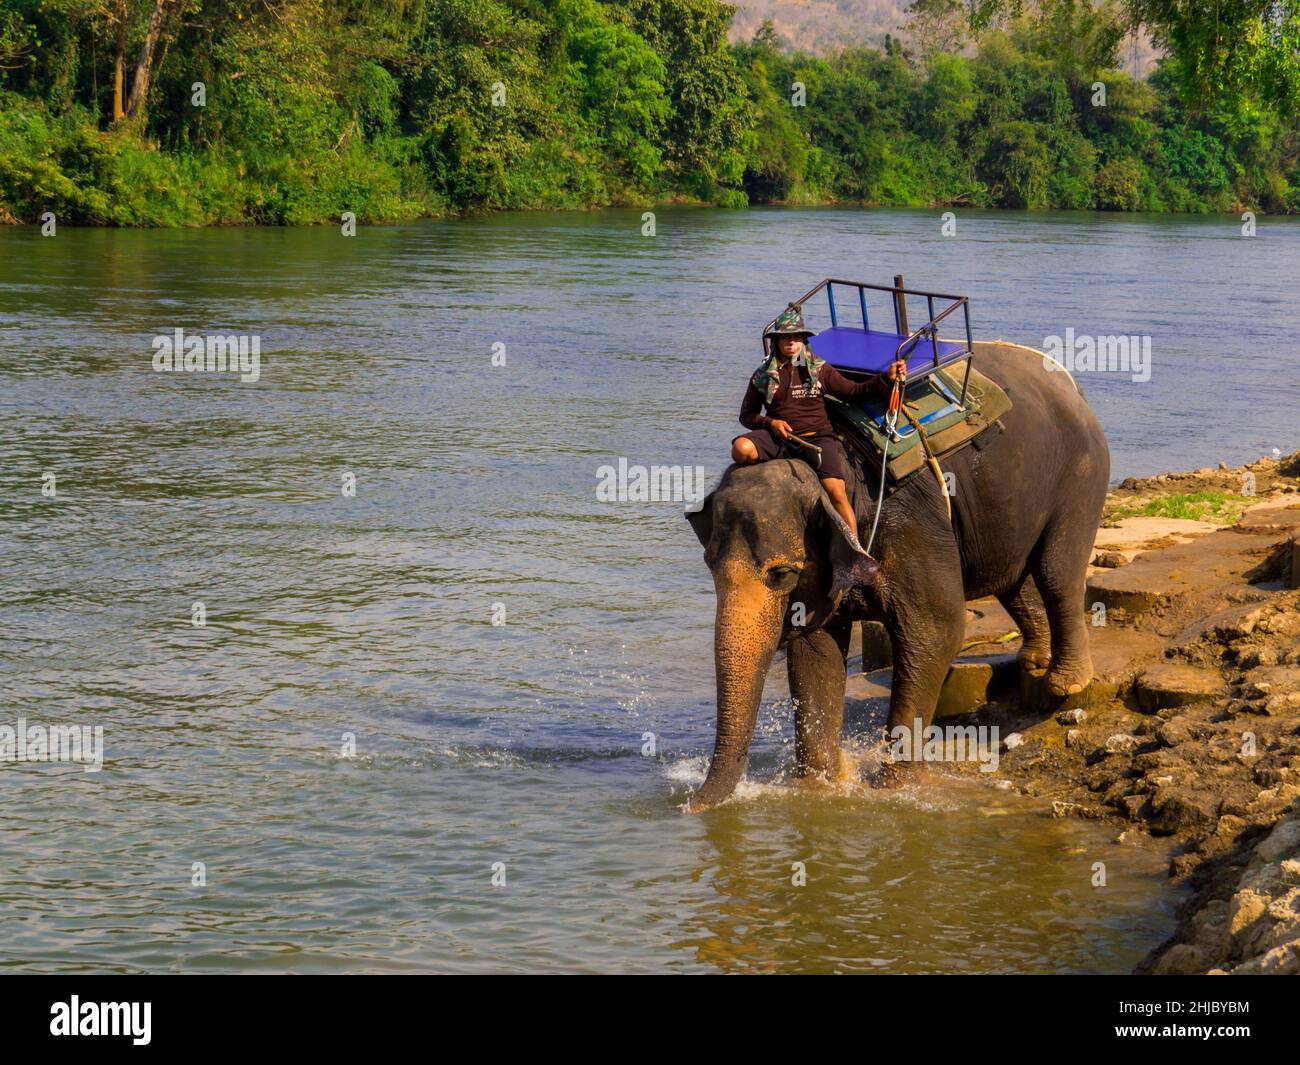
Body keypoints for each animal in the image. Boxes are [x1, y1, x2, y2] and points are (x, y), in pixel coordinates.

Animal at [686, 345, 1112, 811]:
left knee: (1055, 572)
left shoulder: (912, 524)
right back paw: (1032, 661)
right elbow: (815, 650)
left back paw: (1064, 684)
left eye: (781, 574)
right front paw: (822, 788)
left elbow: (936, 630)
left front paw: (892, 789)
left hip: (1083, 473)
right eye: (708, 565)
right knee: (1011, 578)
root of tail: (1069, 384)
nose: (693, 807)